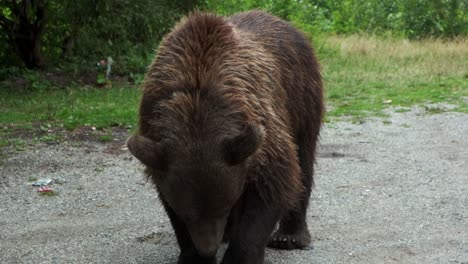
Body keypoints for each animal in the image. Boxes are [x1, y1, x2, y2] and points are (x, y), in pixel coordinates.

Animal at [129, 9, 326, 264]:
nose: (208, 248)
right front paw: (195, 256)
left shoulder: (262, 132)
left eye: (223, 207)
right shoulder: (155, 134)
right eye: (187, 214)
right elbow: (167, 197)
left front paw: (240, 255)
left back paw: (289, 236)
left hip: (301, 95)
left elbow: (273, 184)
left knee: (303, 159)